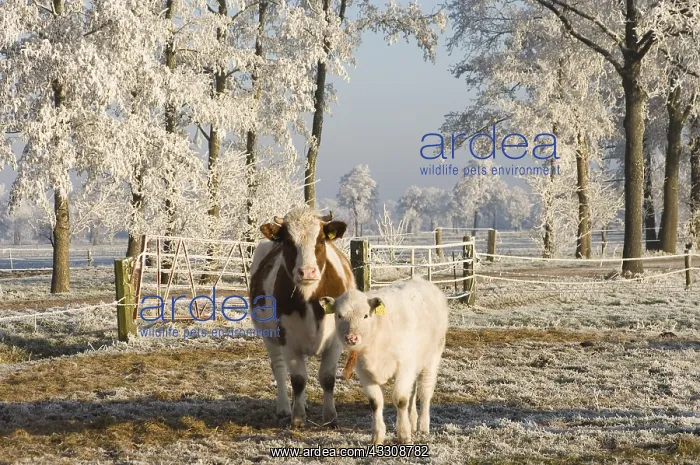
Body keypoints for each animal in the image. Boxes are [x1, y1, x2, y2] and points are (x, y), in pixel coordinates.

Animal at [248, 207, 357, 428]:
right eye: (289, 242)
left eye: (321, 240)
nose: (307, 272)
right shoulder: (287, 339)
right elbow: (298, 379)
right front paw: (297, 418)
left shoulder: (335, 341)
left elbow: (327, 378)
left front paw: (330, 417)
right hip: (269, 337)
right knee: (279, 369)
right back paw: (284, 407)